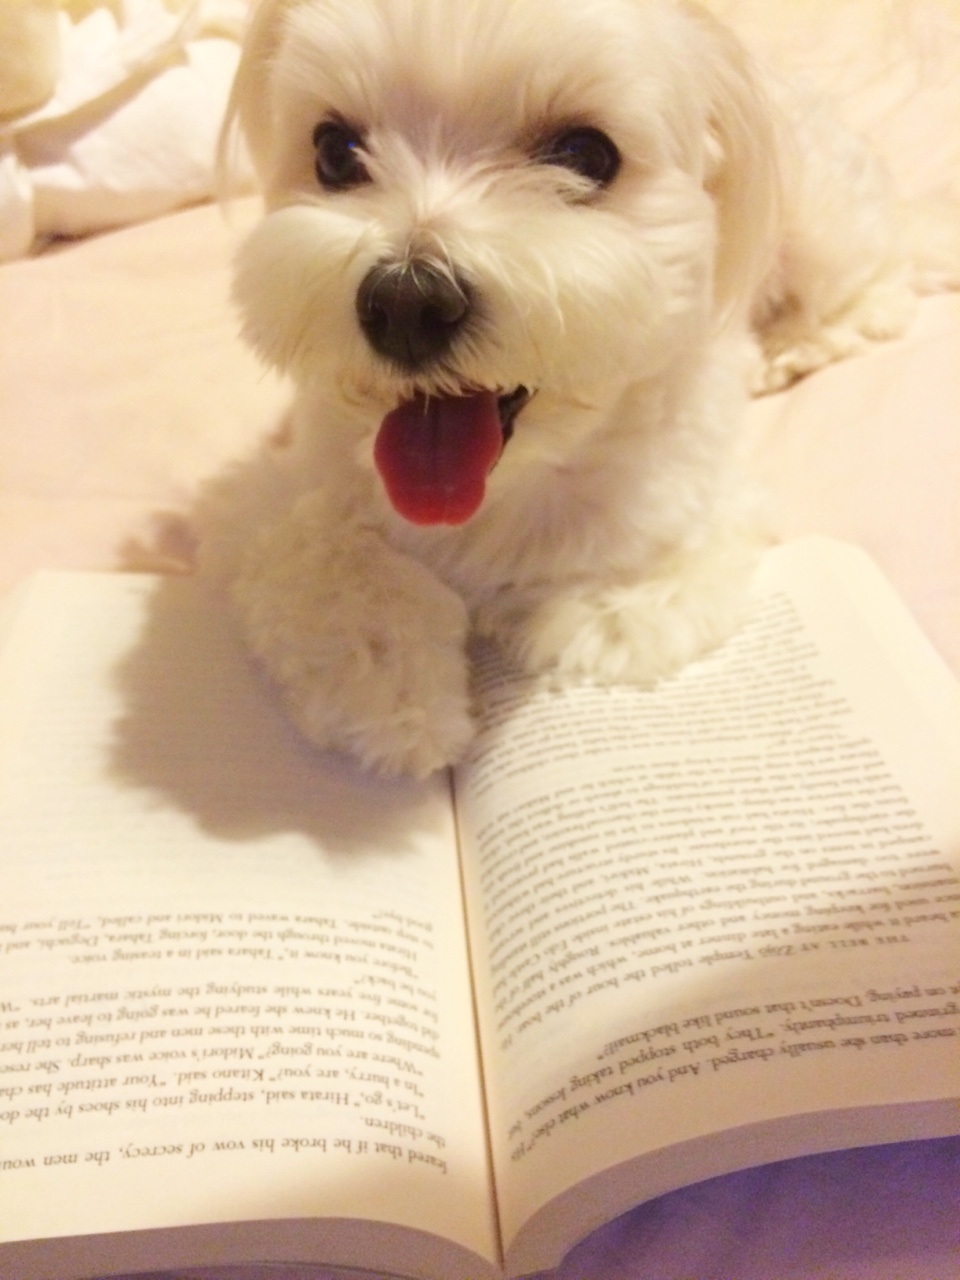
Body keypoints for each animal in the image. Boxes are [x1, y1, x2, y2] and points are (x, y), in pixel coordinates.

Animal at [203, 0, 947, 778]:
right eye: (335, 151)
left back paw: (797, 342)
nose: (406, 302)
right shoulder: (277, 499)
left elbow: (615, 590)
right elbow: (333, 570)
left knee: (877, 283)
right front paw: (402, 702)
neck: (505, 489)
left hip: (820, 225)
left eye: (587, 155)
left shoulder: (690, 512)